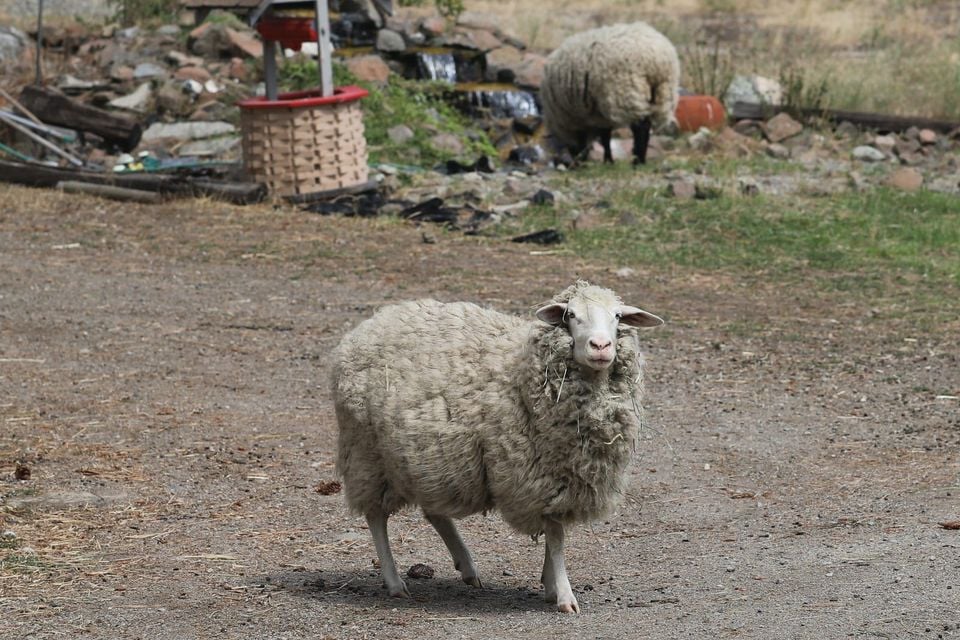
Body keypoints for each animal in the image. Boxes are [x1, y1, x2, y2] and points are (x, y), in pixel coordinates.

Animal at [331, 281, 663, 613]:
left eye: (617, 316)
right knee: (376, 517)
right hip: (367, 454)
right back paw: (395, 582)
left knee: (433, 510)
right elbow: (556, 536)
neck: (522, 373)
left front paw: (549, 583)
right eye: (570, 315)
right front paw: (564, 595)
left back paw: (466, 566)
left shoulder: (564, 479)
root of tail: (371, 322)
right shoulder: (541, 476)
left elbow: (555, 533)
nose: (600, 346)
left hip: (431, 455)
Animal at [540, 22, 680, 165]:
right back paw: (640, 159)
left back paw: (637, 160)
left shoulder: (584, 117)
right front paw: (608, 160)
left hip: (628, 93)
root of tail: (656, 58)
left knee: (640, 127)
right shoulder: (599, 115)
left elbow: (603, 138)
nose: (577, 163)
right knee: (647, 125)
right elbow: (605, 136)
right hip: (663, 92)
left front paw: (607, 160)